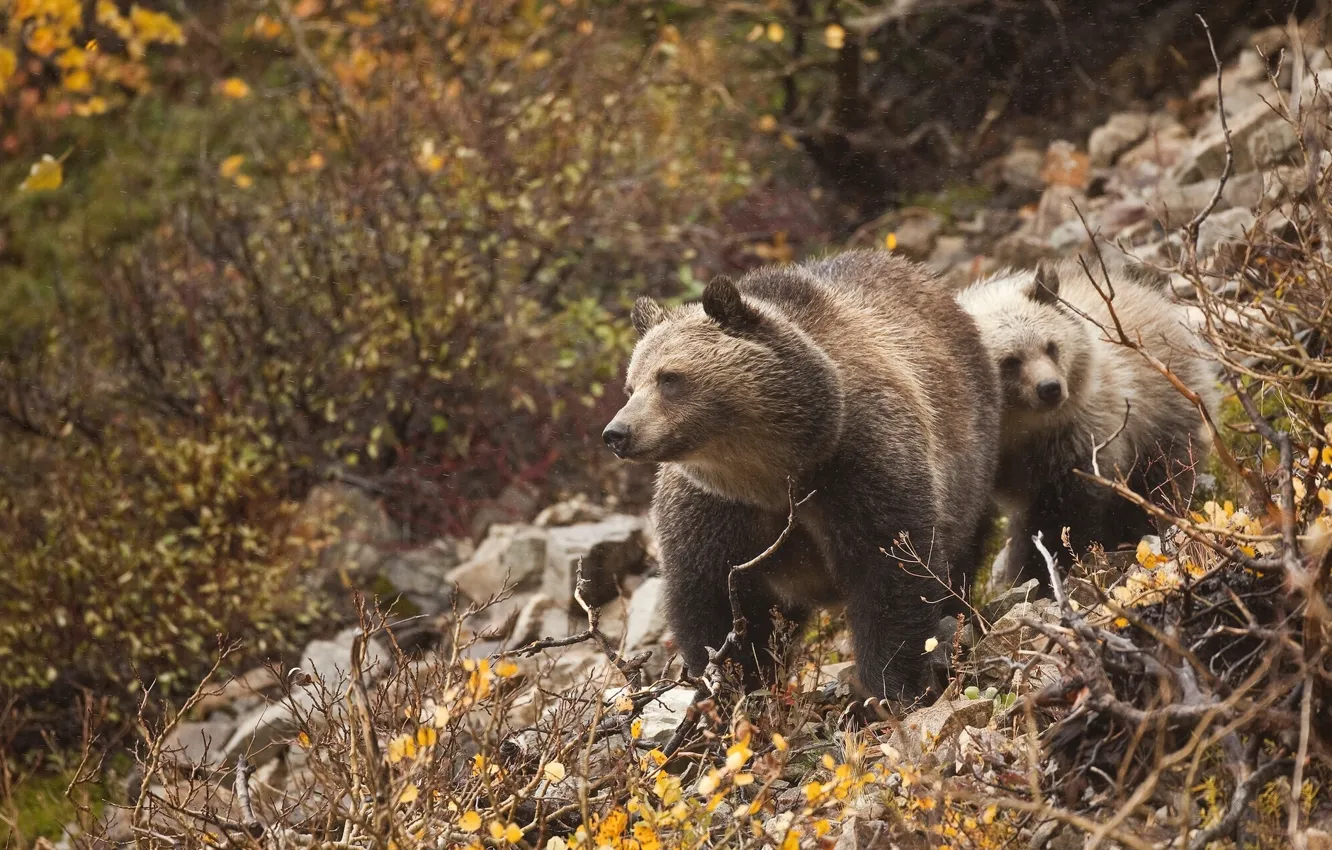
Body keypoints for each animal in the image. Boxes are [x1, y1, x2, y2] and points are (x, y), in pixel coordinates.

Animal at [602, 249, 1000, 703]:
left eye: (669, 378)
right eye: (631, 386)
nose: (617, 432)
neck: (772, 471)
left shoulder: (860, 463)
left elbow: (891, 570)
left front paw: (892, 684)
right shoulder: (714, 509)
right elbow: (712, 599)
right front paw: (732, 686)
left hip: (971, 459)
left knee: (961, 557)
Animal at [955, 258, 1220, 592]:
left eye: (1050, 346)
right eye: (1010, 360)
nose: (1050, 388)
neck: (1016, 429)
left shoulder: (1076, 441)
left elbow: (1063, 514)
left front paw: (1046, 571)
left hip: (1163, 414)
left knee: (1157, 483)